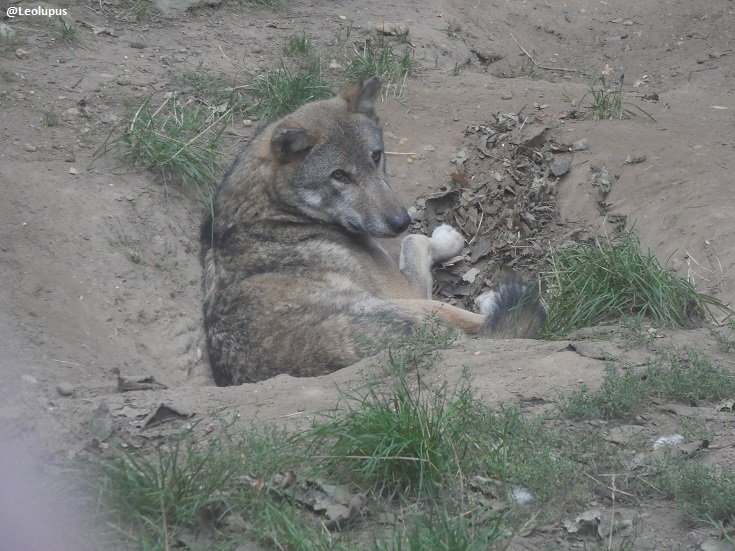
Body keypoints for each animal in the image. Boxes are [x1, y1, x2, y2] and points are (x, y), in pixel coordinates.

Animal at [200, 76, 546, 386]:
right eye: (339, 175)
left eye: (376, 156)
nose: (400, 221)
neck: (275, 209)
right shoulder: (407, 290)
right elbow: (416, 241)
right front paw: (446, 238)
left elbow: (412, 241)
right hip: (416, 306)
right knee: (498, 325)